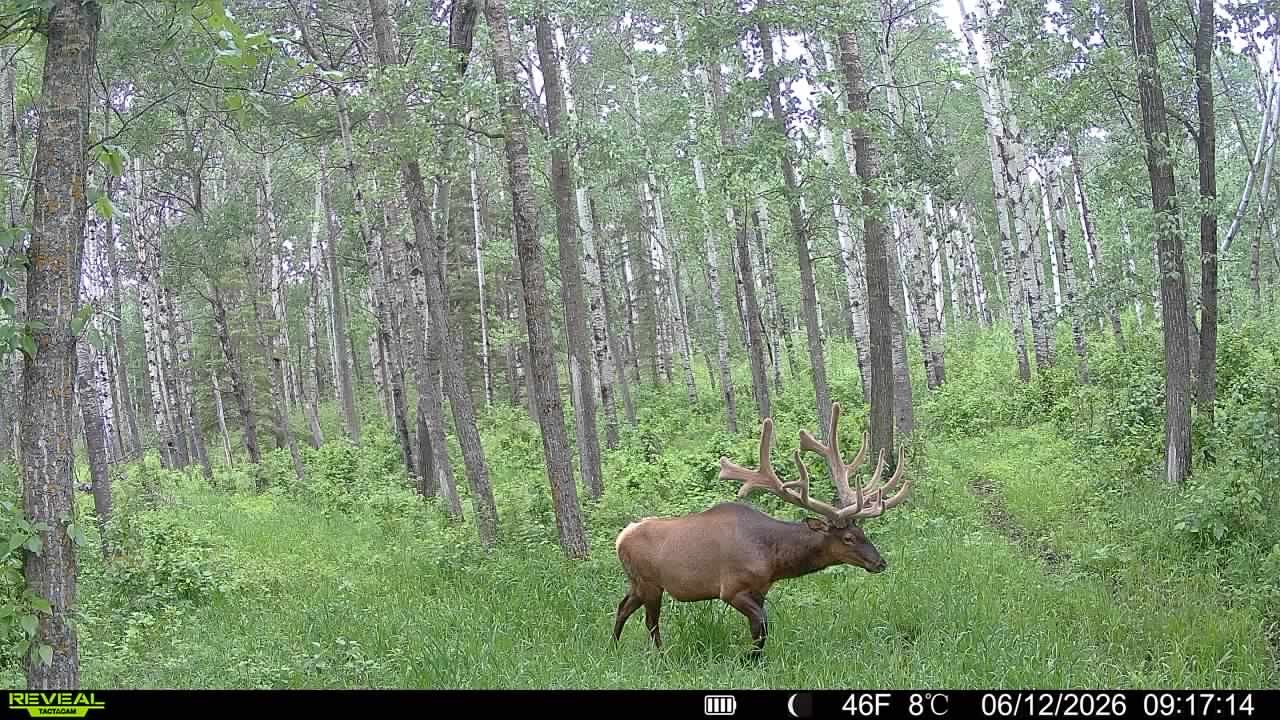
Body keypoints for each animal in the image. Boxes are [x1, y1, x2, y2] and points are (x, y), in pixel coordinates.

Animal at [611, 402, 910, 658]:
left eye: (863, 533)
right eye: (848, 538)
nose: (880, 562)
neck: (773, 558)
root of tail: (621, 538)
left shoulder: (760, 589)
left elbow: (759, 627)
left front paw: (755, 657)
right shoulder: (732, 588)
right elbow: (762, 625)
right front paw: (749, 657)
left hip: (637, 582)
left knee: (622, 606)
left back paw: (612, 646)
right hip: (650, 583)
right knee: (651, 621)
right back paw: (661, 655)